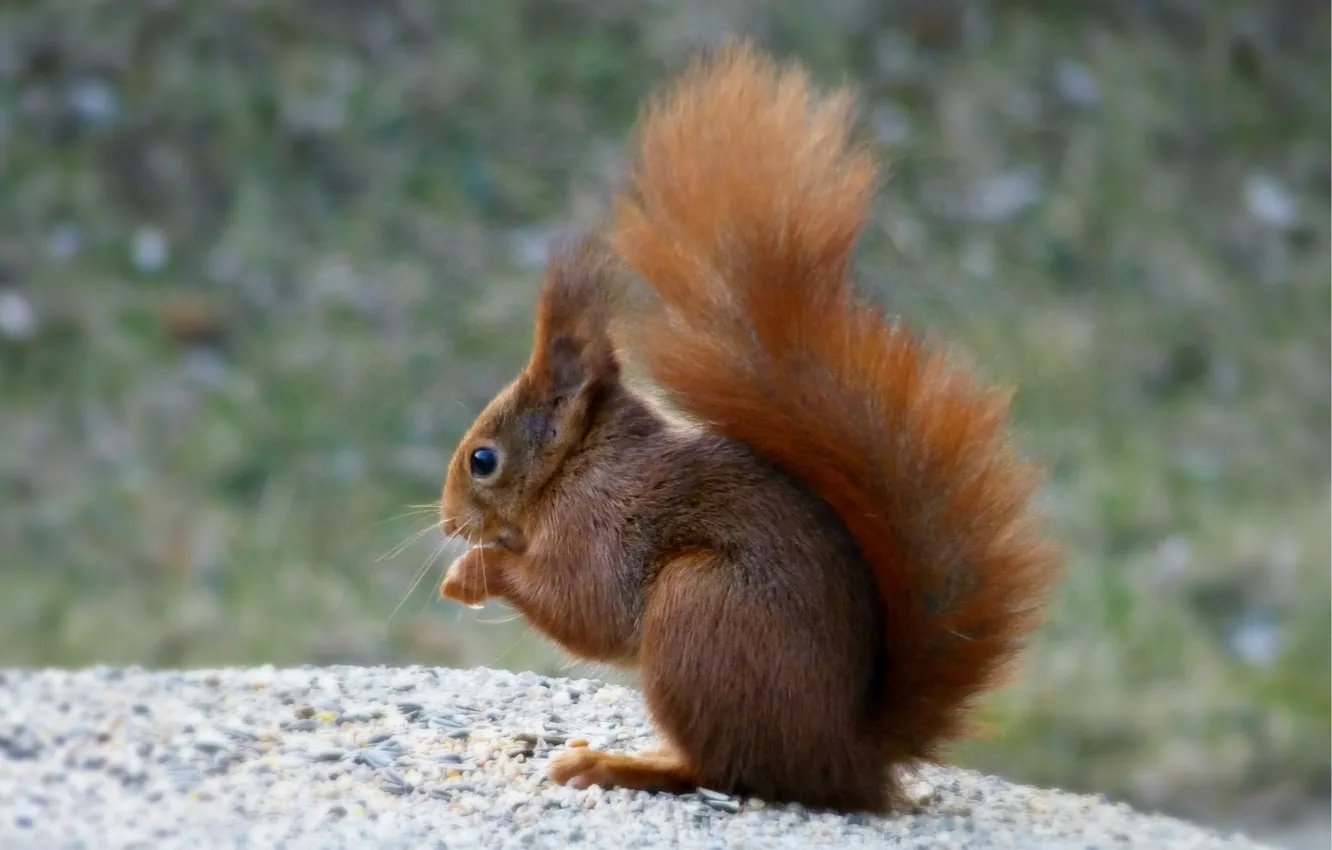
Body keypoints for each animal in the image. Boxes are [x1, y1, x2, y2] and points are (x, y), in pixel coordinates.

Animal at [437, 42, 1060, 813]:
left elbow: (586, 608)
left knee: (723, 768)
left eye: (482, 460)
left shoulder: (602, 527)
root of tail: (848, 757)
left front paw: (474, 570)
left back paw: (623, 765)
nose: (447, 522)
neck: (579, 465)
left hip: (700, 611)